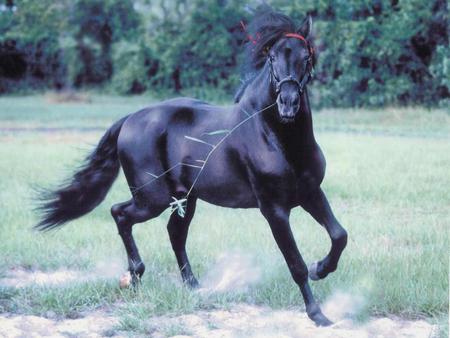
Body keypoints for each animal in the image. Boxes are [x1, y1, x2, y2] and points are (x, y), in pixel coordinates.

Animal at [37, 11, 348, 328]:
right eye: (272, 58)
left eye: (306, 57)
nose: (288, 104)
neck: (277, 138)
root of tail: (131, 119)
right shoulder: (274, 208)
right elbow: (295, 263)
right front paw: (317, 313)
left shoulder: (311, 194)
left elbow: (339, 235)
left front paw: (320, 269)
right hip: (152, 199)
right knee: (120, 214)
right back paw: (134, 277)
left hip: (184, 198)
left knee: (174, 233)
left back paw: (193, 286)